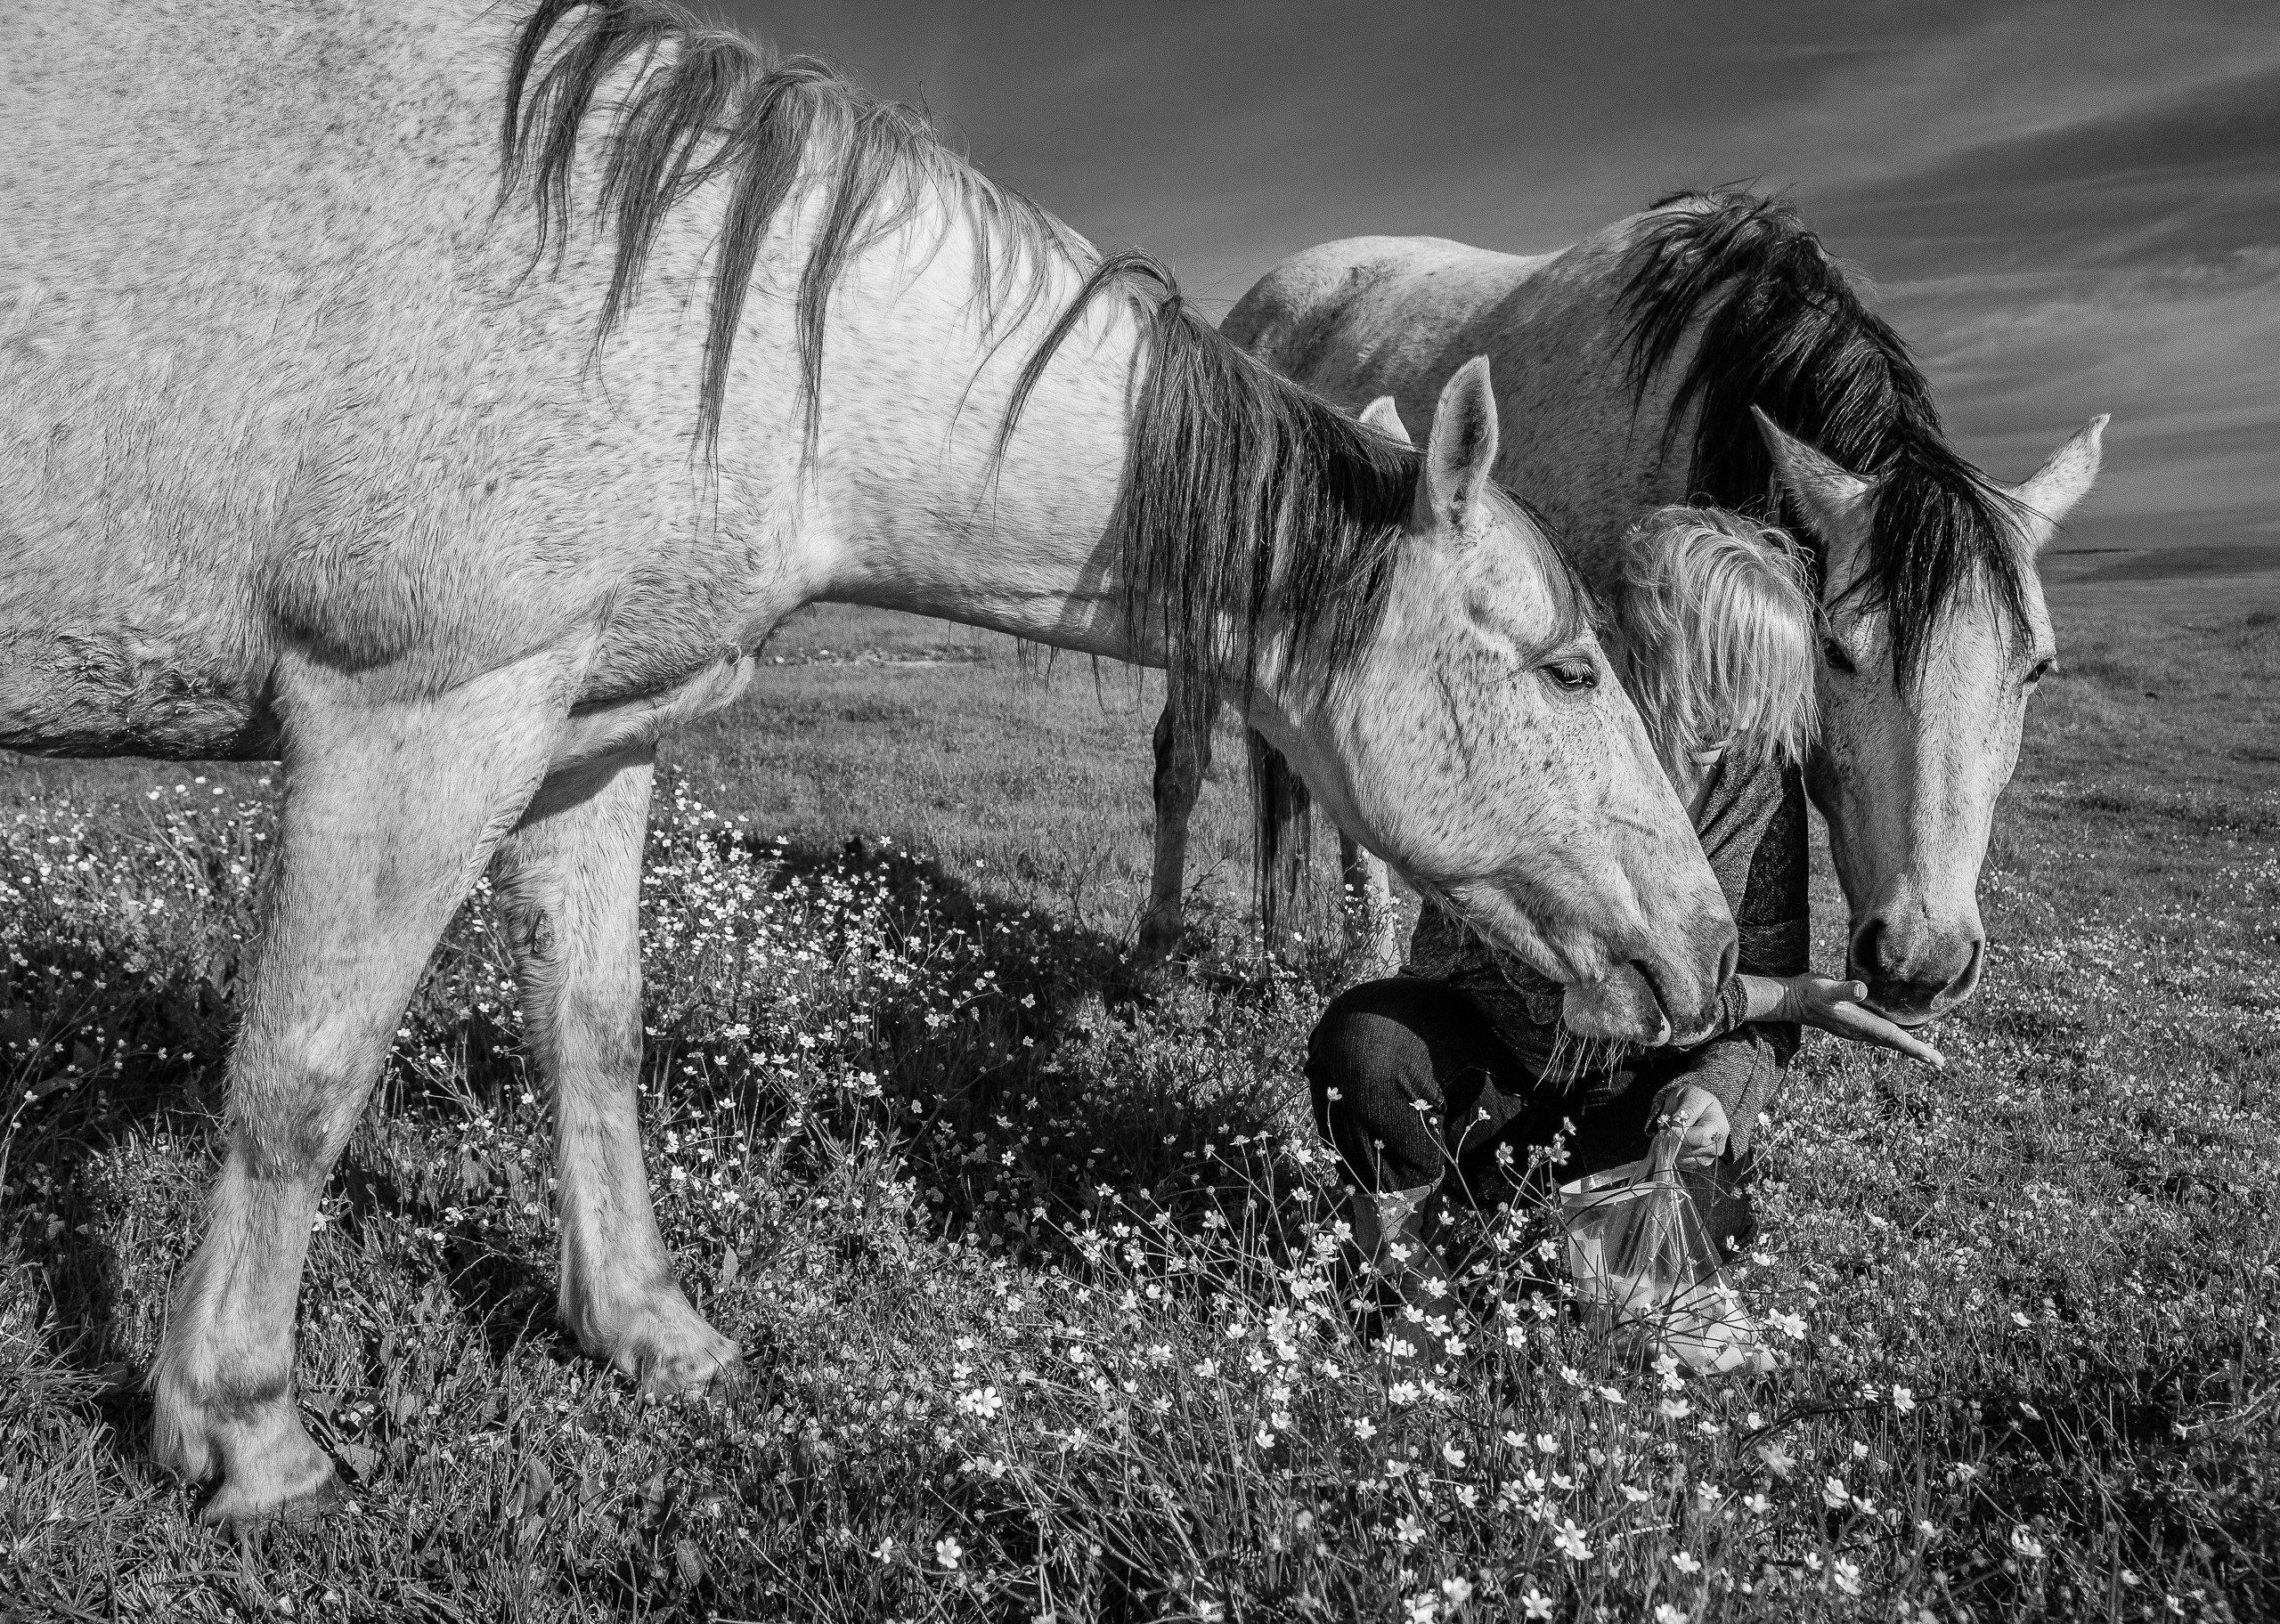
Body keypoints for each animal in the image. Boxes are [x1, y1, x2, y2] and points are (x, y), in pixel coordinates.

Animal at [0, 1, 1737, 1519]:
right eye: (1572, 667)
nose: (1712, 946)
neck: (700, 311)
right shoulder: (416, 714)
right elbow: (300, 1080)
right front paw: (246, 1431)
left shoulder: (583, 742)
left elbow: (594, 1033)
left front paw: (645, 1330)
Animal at [1141, 190, 2106, 1027]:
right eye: (1837, 652)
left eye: (2036, 670)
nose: (1919, 962)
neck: (1700, 392)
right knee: (1182, 761)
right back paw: (1165, 948)